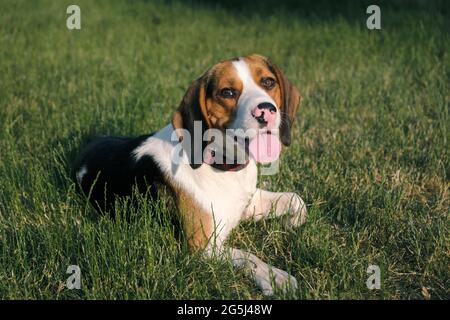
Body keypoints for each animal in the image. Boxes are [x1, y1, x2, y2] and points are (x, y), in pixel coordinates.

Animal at [73, 54, 306, 296]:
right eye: (228, 92)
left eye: (268, 82)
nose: (266, 110)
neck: (218, 162)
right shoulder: (203, 247)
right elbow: (247, 257)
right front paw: (275, 277)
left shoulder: (246, 203)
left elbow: (296, 200)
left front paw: (291, 223)